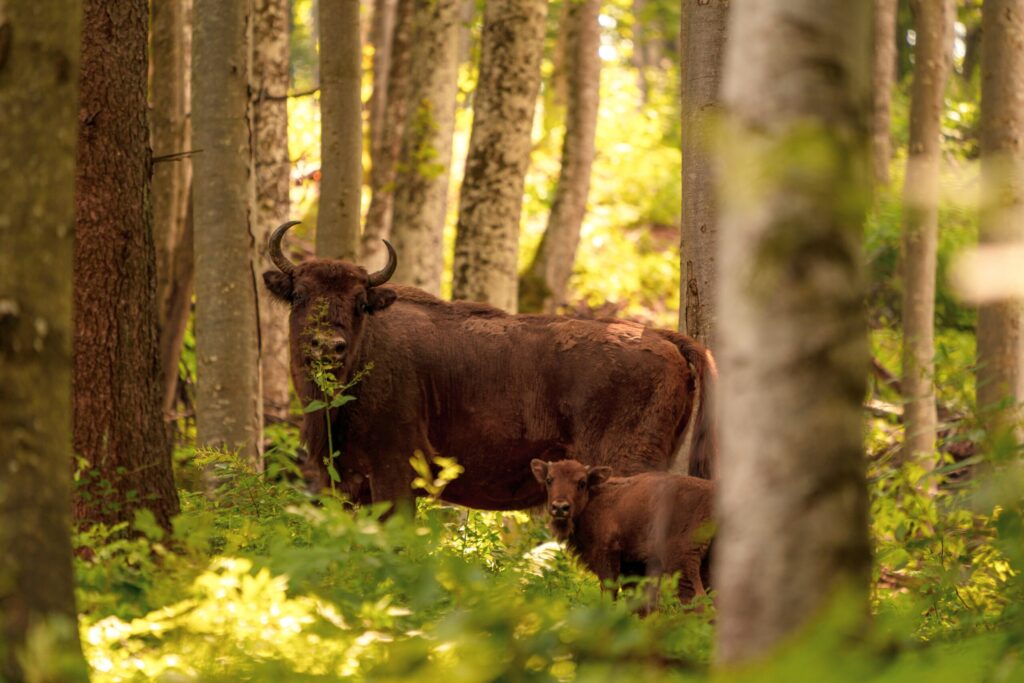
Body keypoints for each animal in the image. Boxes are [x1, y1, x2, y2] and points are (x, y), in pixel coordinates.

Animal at [531, 458, 714, 606]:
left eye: (582, 482)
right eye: (549, 480)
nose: (560, 507)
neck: (593, 497)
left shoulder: (607, 556)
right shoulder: (632, 566)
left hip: (681, 561)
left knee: (695, 597)